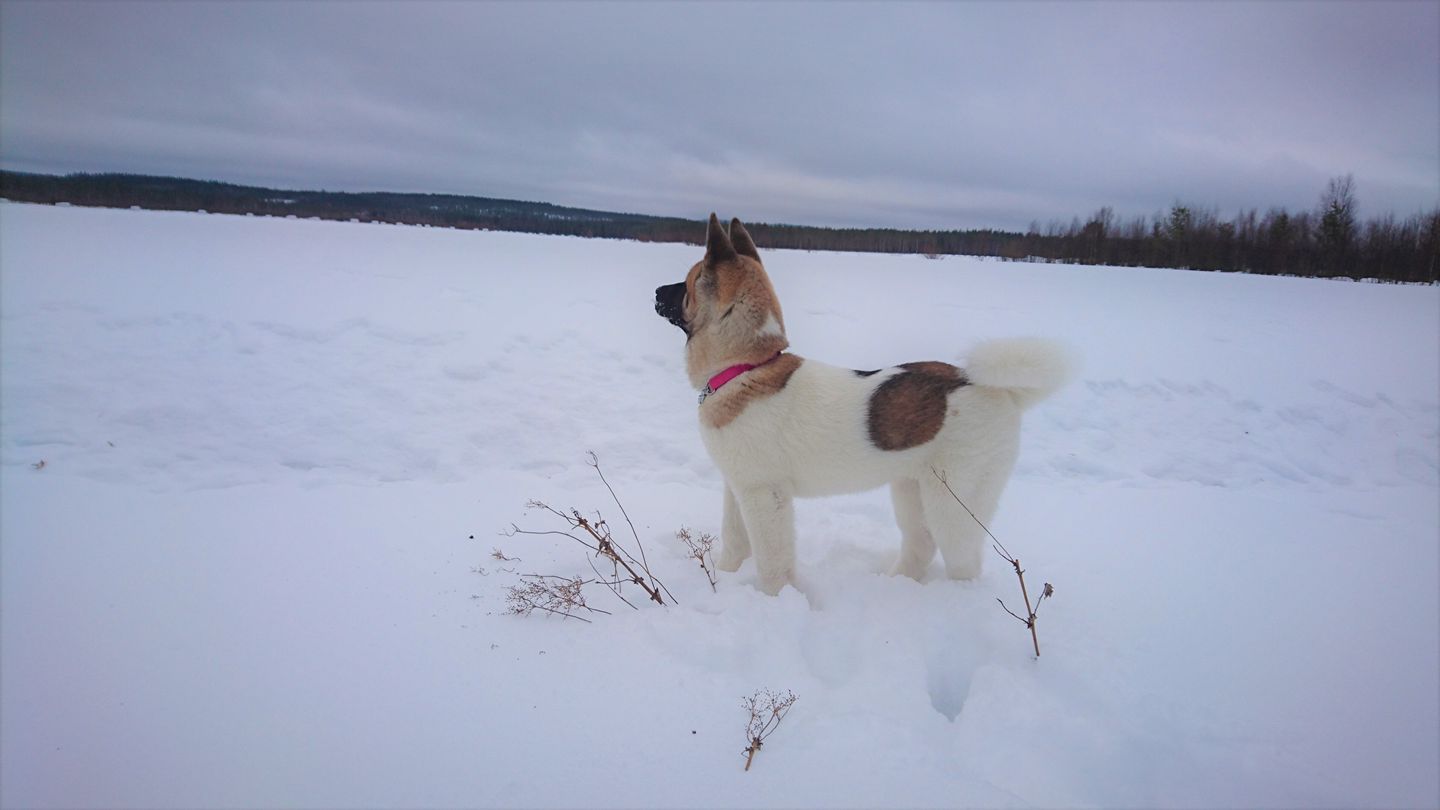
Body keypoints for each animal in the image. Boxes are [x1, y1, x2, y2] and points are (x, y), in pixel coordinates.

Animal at [653, 214, 1071, 593]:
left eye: (686, 283)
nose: (656, 291)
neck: (746, 367)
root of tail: (993, 386)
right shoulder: (736, 486)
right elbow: (734, 540)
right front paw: (726, 578)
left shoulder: (764, 494)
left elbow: (773, 562)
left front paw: (776, 600)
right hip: (911, 489)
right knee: (920, 545)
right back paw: (896, 584)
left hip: (954, 502)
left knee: (964, 561)